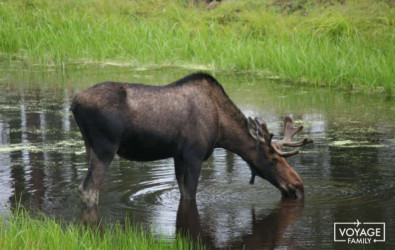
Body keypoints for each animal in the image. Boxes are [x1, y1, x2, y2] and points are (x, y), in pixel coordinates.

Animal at [71, 72, 312, 207]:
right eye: (274, 159)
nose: (298, 185)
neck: (222, 130)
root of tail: (74, 102)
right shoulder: (194, 155)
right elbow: (191, 196)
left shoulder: (178, 156)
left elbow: (184, 194)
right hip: (105, 147)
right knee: (88, 190)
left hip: (89, 146)